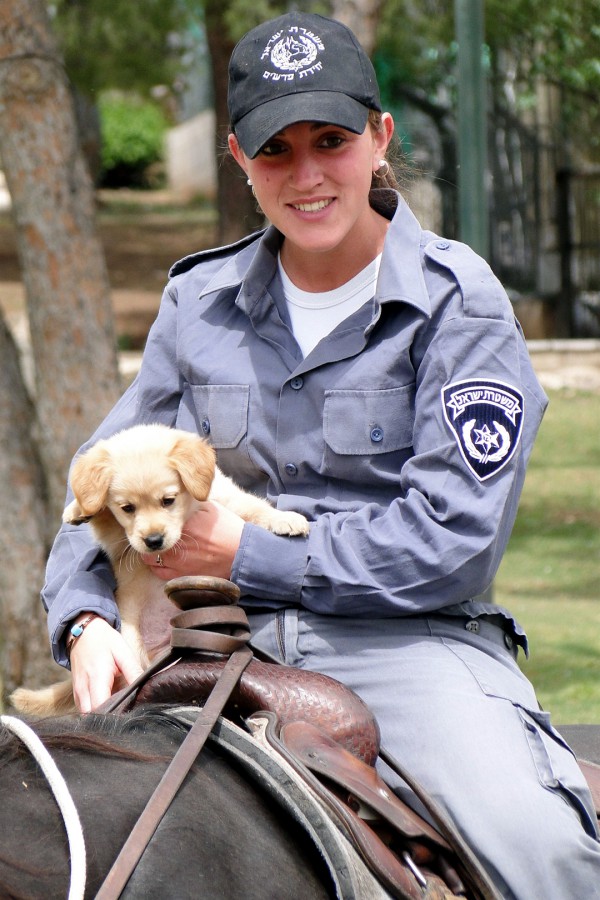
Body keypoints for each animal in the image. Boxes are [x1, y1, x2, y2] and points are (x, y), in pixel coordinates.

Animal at [10, 424, 310, 716]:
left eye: (168, 500)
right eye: (128, 508)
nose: (153, 540)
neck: (190, 510)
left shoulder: (227, 500)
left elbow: (255, 507)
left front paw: (286, 519)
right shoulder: (121, 541)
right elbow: (101, 512)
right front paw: (79, 509)